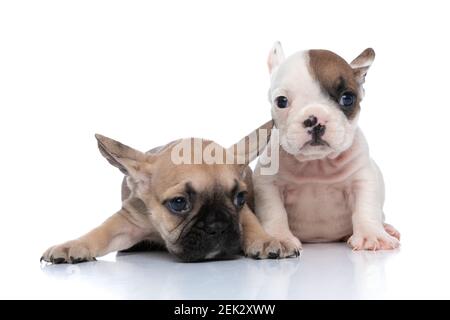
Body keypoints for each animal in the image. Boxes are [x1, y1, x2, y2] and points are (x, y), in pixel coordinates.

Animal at [42, 121, 292, 264]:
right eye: (178, 203)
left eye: (240, 198)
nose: (218, 226)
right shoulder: (130, 218)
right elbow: (101, 233)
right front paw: (73, 245)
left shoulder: (243, 212)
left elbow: (249, 223)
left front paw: (265, 240)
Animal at [253, 43, 400, 258]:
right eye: (281, 101)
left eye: (347, 98)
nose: (314, 119)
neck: (317, 164)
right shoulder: (268, 184)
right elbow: (274, 211)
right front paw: (278, 238)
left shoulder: (363, 179)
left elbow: (366, 206)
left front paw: (372, 235)